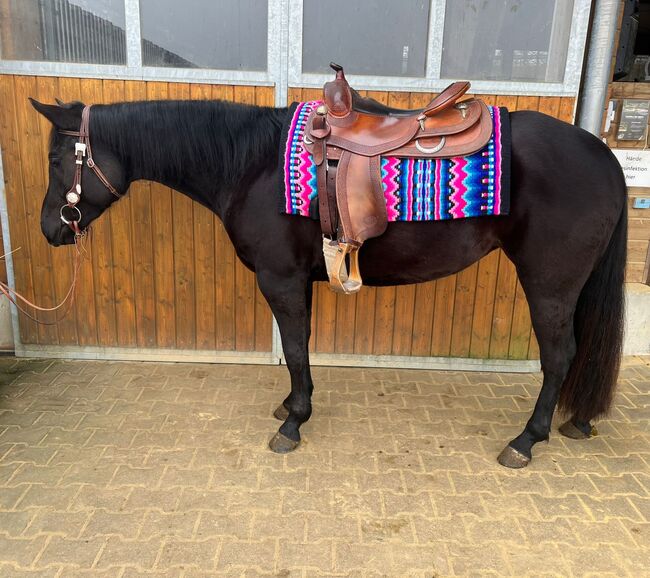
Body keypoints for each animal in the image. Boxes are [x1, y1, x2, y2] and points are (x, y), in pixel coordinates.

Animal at [29, 98, 624, 468]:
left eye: (58, 159)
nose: (49, 229)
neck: (252, 164)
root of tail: (605, 157)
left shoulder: (281, 278)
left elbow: (295, 347)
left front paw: (293, 423)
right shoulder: (299, 279)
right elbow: (301, 348)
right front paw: (292, 405)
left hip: (549, 283)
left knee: (560, 355)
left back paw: (526, 439)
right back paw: (576, 421)